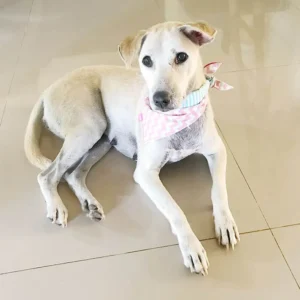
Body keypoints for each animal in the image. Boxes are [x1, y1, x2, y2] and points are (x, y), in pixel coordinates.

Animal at [24, 20, 239, 274]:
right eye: (146, 60)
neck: (179, 117)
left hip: (101, 139)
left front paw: (225, 222)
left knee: (73, 174)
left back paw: (89, 203)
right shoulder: (145, 174)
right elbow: (175, 210)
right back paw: (57, 206)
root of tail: (48, 89)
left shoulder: (218, 151)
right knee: (48, 175)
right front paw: (192, 248)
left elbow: (219, 190)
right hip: (88, 129)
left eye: (181, 56)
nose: (159, 99)